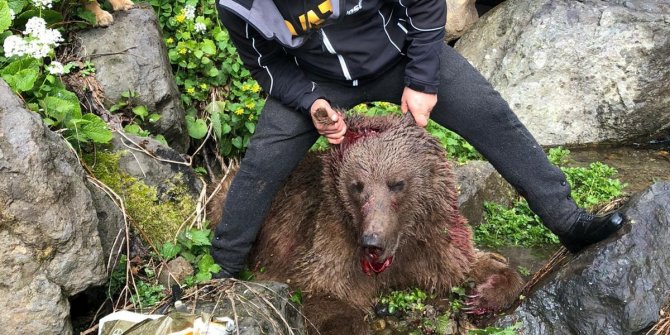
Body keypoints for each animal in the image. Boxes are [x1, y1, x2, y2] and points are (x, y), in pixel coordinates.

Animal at [213, 113, 528, 335]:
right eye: (357, 185)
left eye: (397, 183)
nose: (372, 242)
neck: (400, 248)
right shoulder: (327, 245)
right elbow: (322, 291)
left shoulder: (431, 245)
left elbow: (467, 264)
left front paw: (483, 294)